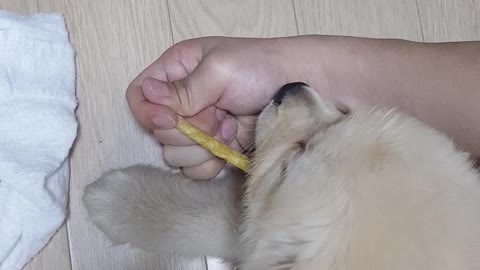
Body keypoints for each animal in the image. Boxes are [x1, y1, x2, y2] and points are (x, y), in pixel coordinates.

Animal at [82, 83, 480, 268]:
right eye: (345, 115)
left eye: (290, 164)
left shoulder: (263, 233)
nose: (288, 88)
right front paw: (114, 197)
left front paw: (109, 198)